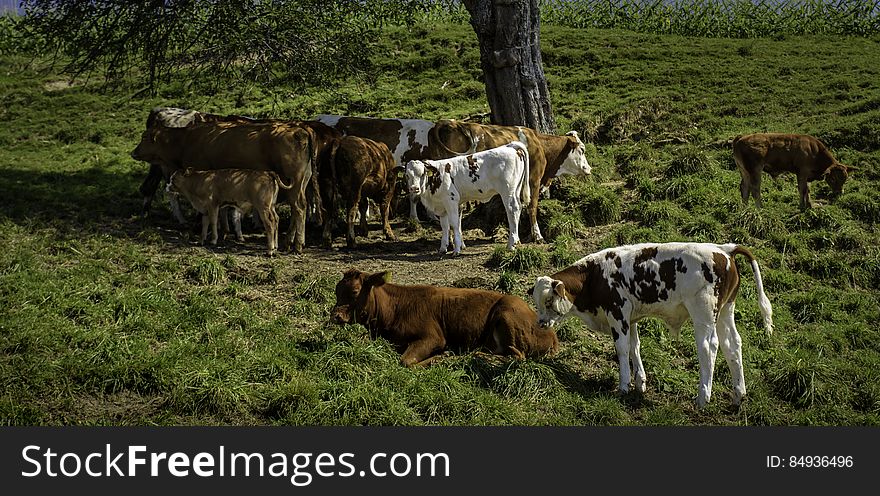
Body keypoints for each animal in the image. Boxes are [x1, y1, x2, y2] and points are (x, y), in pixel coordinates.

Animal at [168, 170, 296, 256]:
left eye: (173, 179)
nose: (166, 186)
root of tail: (267, 172)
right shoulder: (205, 208)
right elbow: (205, 223)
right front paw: (201, 240)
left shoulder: (212, 205)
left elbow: (213, 222)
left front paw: (213, 240)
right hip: (271, 206)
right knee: (276, 219)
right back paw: (275, 247)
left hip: (263, 207)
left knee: (269, 224)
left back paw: (269, 250)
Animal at [330, 270, 556, 366]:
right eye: (336, 290)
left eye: (354, 291)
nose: (335, 316)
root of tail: (552, 333)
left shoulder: (433, 337)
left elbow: (406, 361)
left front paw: (442, 357)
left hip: (507, 315)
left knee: (518, 356)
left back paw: (474, 356)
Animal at [528, 242, 768, 408]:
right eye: (537, 303)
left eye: (548, 301)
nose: (540, 323)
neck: (594, 275)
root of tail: (724, 249)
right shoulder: (631, 318)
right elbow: (635, 346)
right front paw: (640, 383)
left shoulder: (618, 312)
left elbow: (622, 349)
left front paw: (624, 387)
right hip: (726, 310)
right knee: (732, 345)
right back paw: (738, 395)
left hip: (704, 314)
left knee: (709, 348)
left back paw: (703, 397)